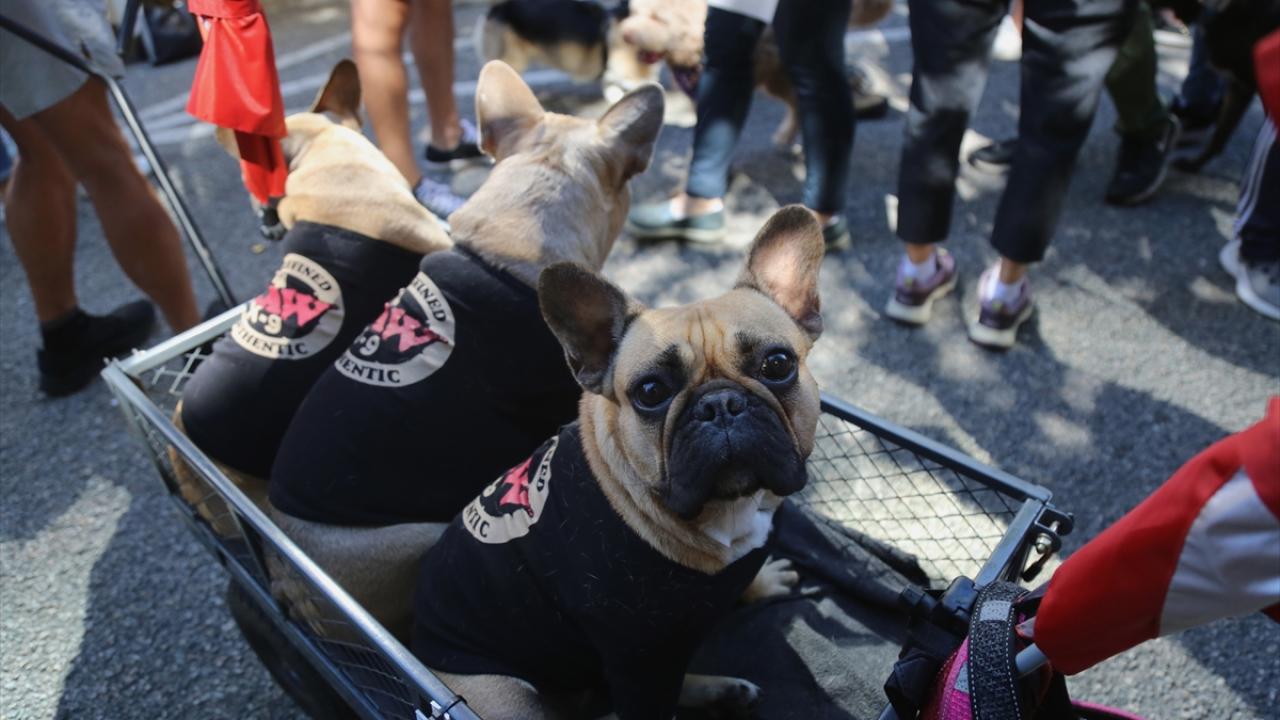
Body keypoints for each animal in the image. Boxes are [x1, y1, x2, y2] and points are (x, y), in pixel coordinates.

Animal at [410, 205, 826, 719]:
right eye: (650, 392)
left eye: (777, 364)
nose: (720, 405)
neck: (725, 510)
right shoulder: (641, 664)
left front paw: (762, 582)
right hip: (510, 699)